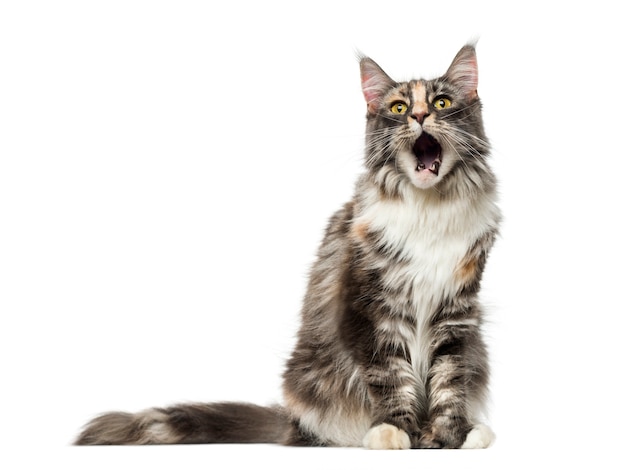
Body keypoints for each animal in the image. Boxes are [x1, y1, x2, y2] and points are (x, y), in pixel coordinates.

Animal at [75, 45, 500, 452]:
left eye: (441, 102)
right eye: (398, 108)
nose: (420, 115)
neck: (430, 208)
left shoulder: (456, 314)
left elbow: (449, 381)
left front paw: (449, 436)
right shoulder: (370, 309)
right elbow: (391, 377)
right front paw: (395, 431)